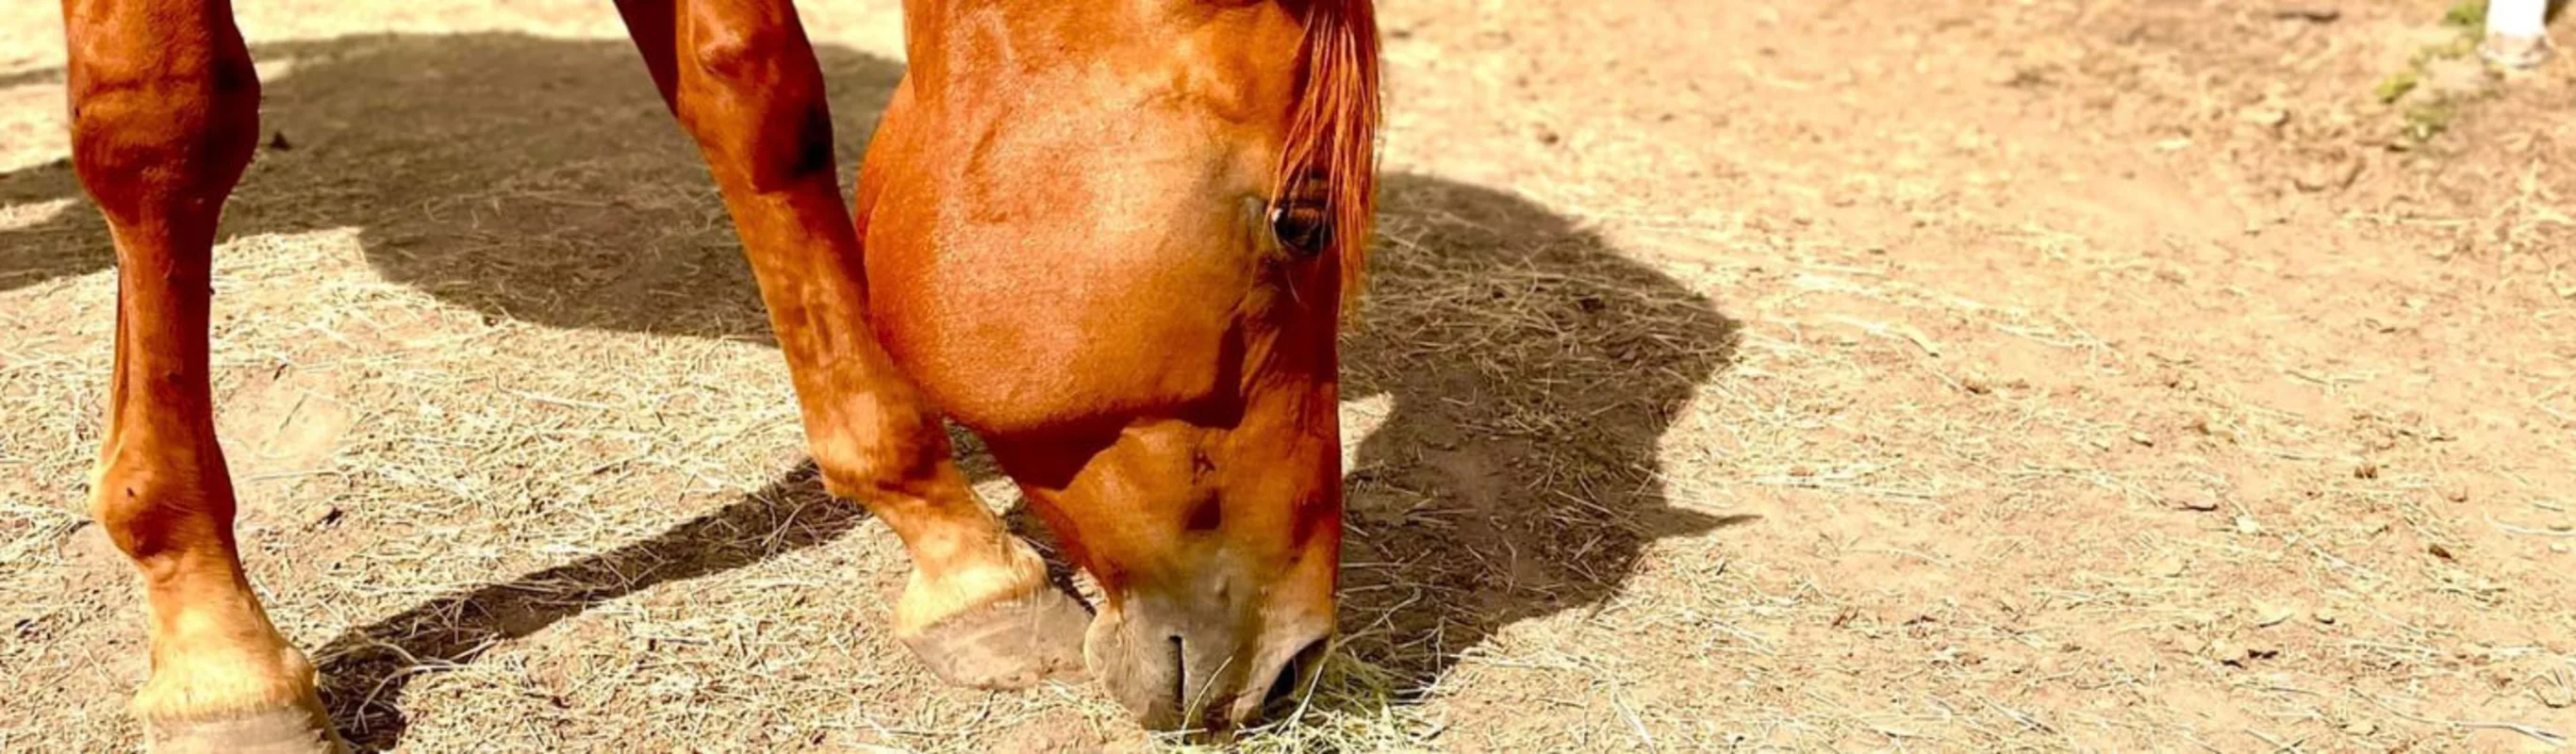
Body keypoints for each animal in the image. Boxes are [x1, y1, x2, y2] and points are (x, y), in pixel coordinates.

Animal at [50, 0, 1380, 746]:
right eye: (1301, 221)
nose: (1297, 661)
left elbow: (752, 89)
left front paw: (959, 555)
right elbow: (164, 122)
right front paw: (214, 644)